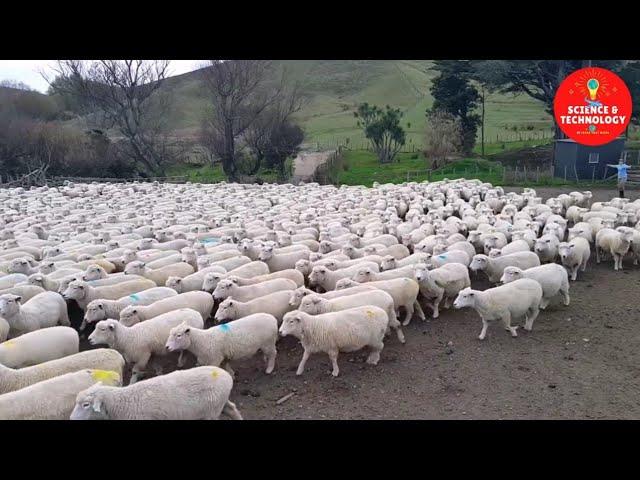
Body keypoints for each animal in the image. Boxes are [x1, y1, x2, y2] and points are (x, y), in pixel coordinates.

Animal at [69, 368, 241, 420]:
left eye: (86, 405)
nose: (71, 418)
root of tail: (226, 375)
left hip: (211, 412)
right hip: (219, 403)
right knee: (232, 409)